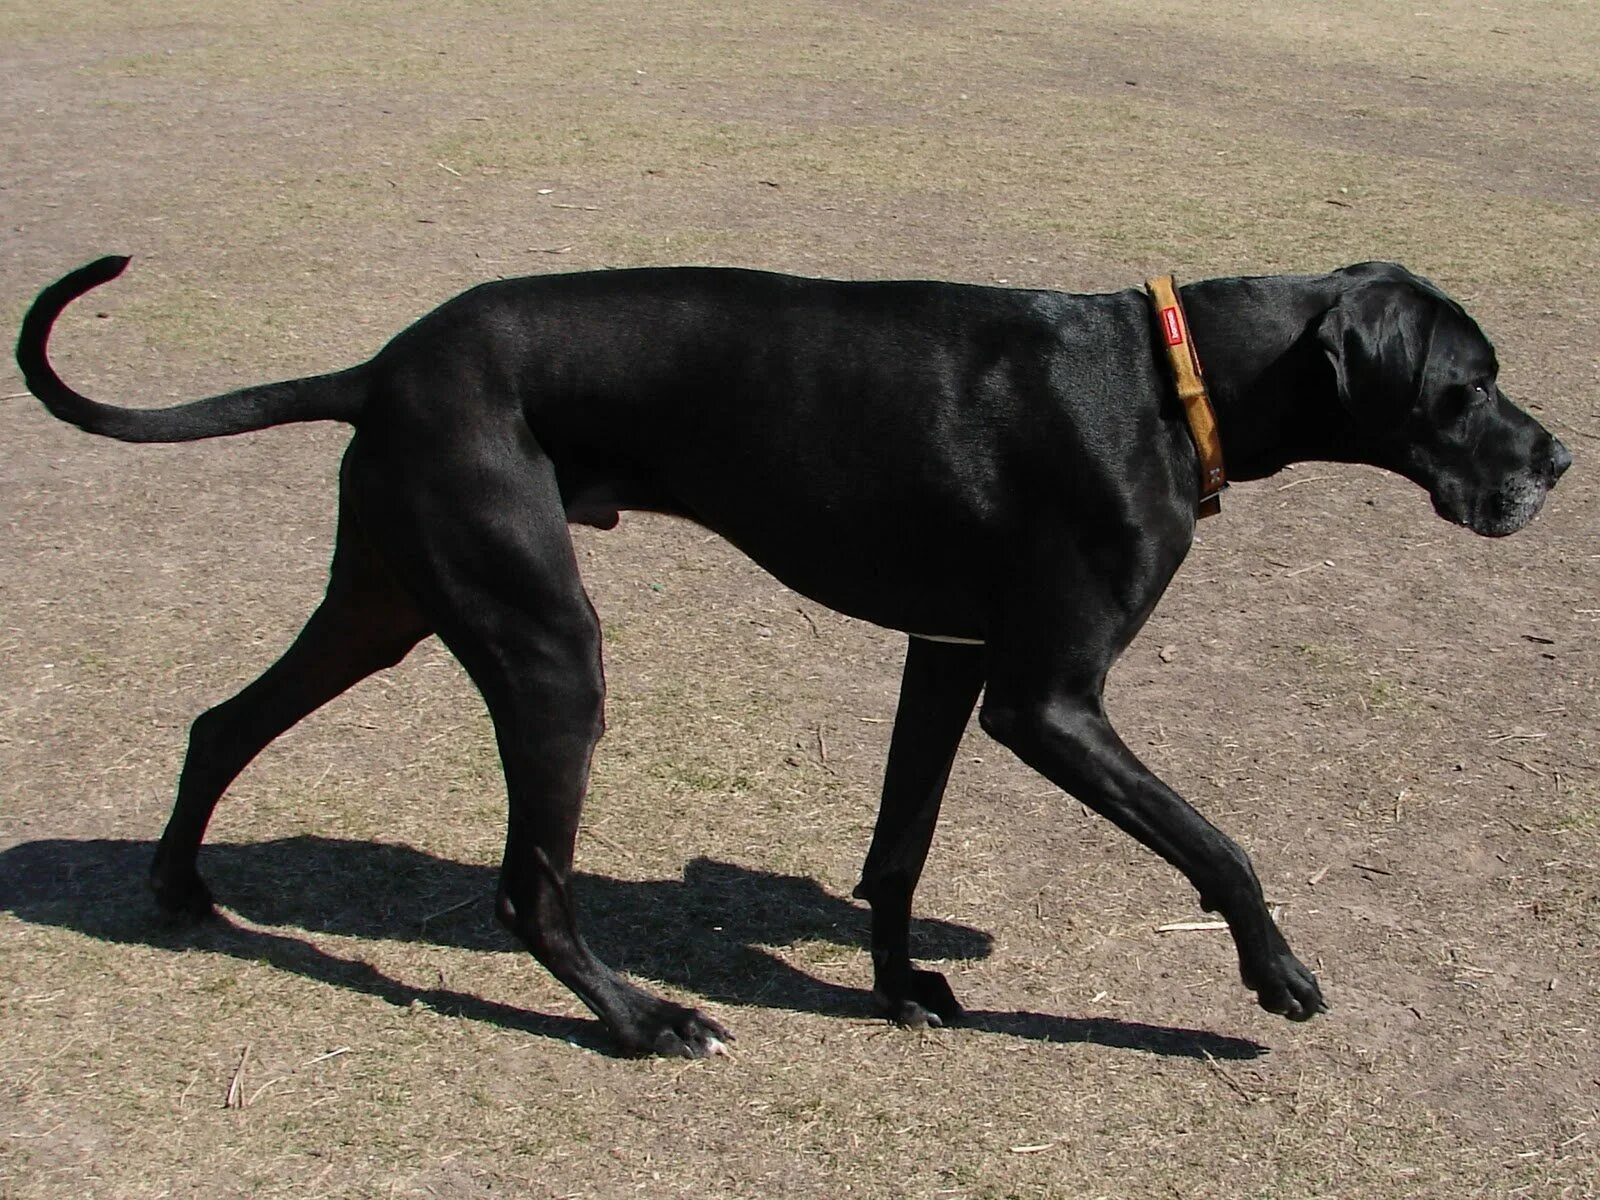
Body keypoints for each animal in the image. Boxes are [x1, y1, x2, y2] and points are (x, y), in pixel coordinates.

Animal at [12, 259, 1568, 1056]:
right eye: (1471, 383)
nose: (1557, 460)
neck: (1164, 379)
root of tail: (382, 365)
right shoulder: (1048, 701)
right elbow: (1216, 840)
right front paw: (1276, 972)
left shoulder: (948, 657)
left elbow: (898, 848)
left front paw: (898, 987)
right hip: (547, 646)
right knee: (529, 887)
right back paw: (642, 1020)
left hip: (386, 605)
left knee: (222, 722)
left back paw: (178, 888)